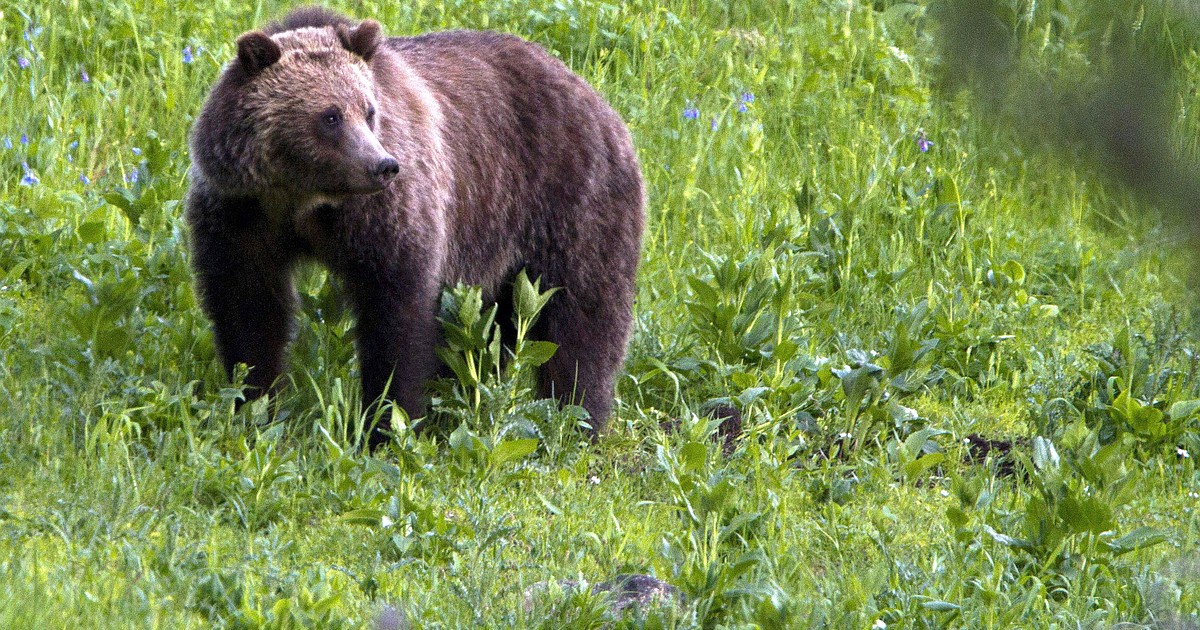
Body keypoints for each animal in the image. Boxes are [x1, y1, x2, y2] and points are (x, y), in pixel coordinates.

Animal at [184, 7, 648, 444]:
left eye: (369, 110)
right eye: (330, 116)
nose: (382, 165)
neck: (303, 200)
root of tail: (596, 97)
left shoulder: (385, 217)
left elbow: (397, 315)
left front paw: (386, 423)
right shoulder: (241, 215)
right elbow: (249, 308)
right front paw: (254, 404)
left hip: (570, 200)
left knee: (583, 315)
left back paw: (577, 418)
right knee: (496, 325)